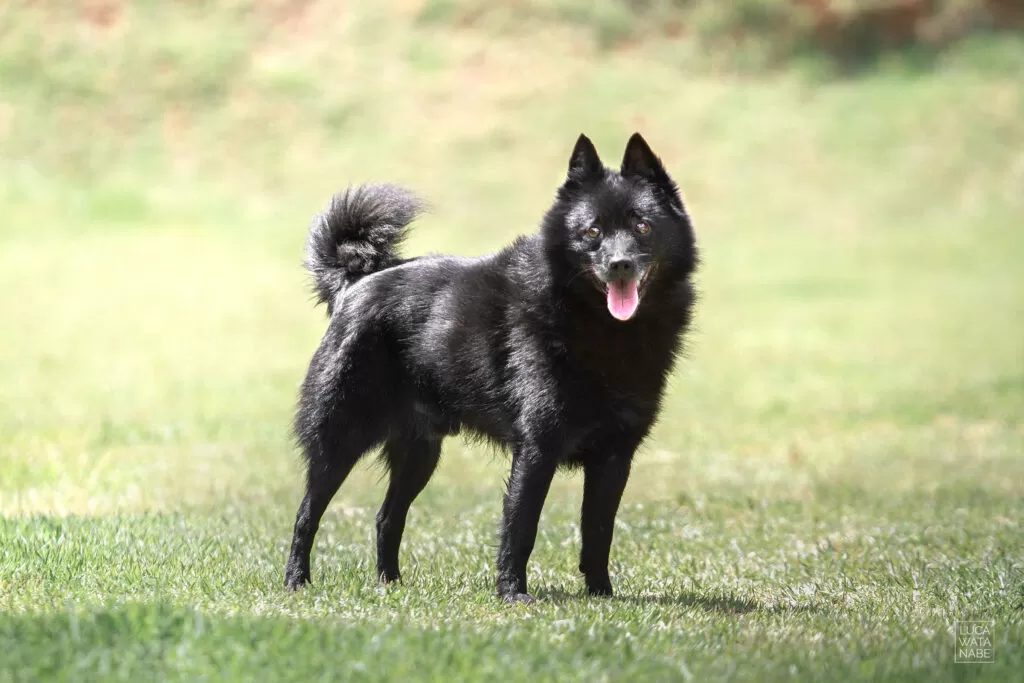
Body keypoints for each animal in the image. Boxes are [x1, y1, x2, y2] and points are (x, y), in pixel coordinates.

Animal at [282, 133, 696, 602]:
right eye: (592, 232)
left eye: (642, 226)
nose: (619, 264)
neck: (601, 329)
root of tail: (356, 282)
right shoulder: (536, 449)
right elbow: (521, 528)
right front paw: (512, 593)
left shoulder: (615, 456)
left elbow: (598, 531)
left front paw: (601, 594)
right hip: (340, 437)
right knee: (306, 515)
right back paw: (297, 580)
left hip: (419, 453)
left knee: (387, 517)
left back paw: (390, 584)